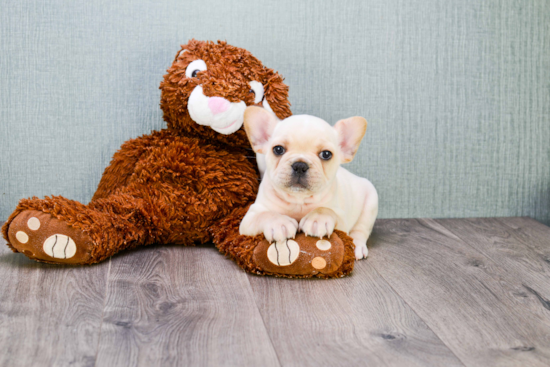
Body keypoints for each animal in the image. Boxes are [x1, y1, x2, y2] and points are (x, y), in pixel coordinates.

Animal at [242, 106, 380, 262]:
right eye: (278, 149)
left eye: (326, 154)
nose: (300, 165)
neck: (299, 200)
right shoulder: (250, 217)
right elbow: (266, 214)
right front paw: (280, 223)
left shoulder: (341, 220)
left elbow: (326, 210)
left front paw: (317, 219)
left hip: (370, 202)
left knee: (360, 231)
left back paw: (357, 246)